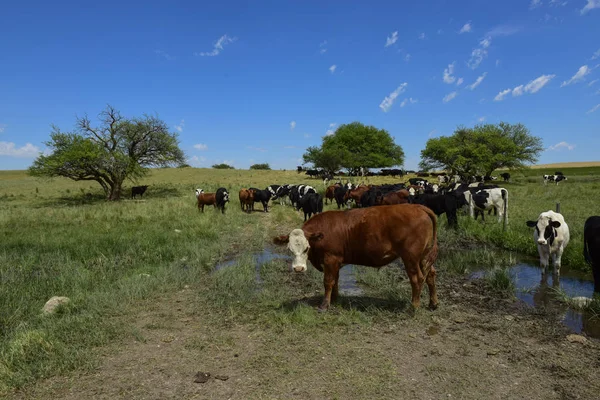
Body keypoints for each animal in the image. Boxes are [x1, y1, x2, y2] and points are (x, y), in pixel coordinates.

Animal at [274, 205, 438, 310]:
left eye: (306, 248)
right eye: (289, 249)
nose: (298, 269)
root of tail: (418, 207)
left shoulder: (330, 259)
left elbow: (328, 281)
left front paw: (324, 305)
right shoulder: (336, 262)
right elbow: (335, 280)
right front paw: (335, 299)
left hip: (411, 257)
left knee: (417, 278)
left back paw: (414, 306)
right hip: (423, 256)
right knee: (430, 275)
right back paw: (433, 304)